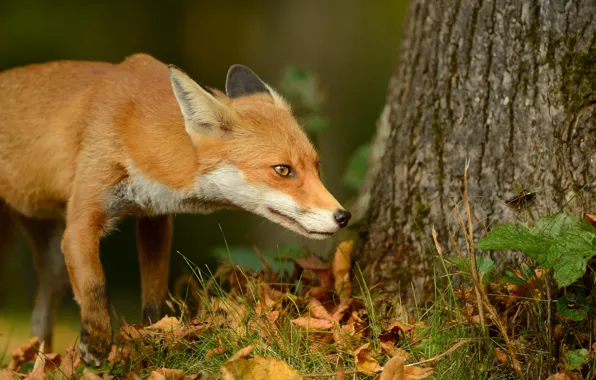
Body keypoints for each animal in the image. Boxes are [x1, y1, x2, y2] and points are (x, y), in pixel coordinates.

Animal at [0, 52, 352, 366]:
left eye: (316, 167)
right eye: (282, 170)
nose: (343, 216)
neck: (135, 131)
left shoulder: (154, 218)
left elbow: (156, 292)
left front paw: (155, 338)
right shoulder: (82, 220)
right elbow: (95, 284)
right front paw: (97, 343)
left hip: (52, 258)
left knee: (41, 317)